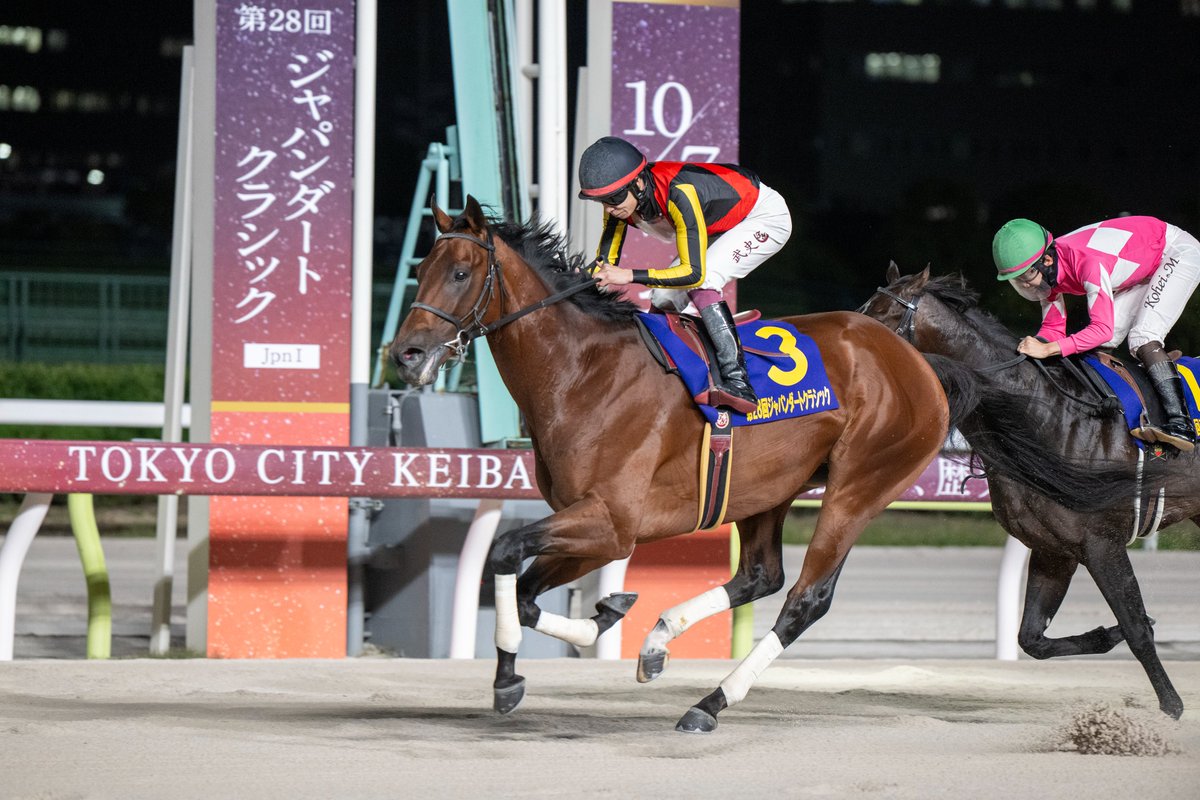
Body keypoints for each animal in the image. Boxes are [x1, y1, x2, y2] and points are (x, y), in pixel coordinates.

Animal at [388, 197, 1104, 732]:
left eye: (459, 273)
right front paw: (602, 617)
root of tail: (921, 363)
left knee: (805, 597)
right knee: (761, 575)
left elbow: (506, 554)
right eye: (421, 267)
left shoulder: (612, 522)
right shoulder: (590, 523)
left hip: (858, 487)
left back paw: (709, 703)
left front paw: (513, 674)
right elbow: (526, 590)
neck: (583, 370)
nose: (406, 355)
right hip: (769, 489)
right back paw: (660, 641)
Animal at [858, 263, 1198, 719]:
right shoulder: (1054, 549)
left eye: (882, 316)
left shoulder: (1102, 542)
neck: (1046, 414)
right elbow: (1032, 639)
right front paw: (1105, 635)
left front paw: (1171, 707)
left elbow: (1136, 627)